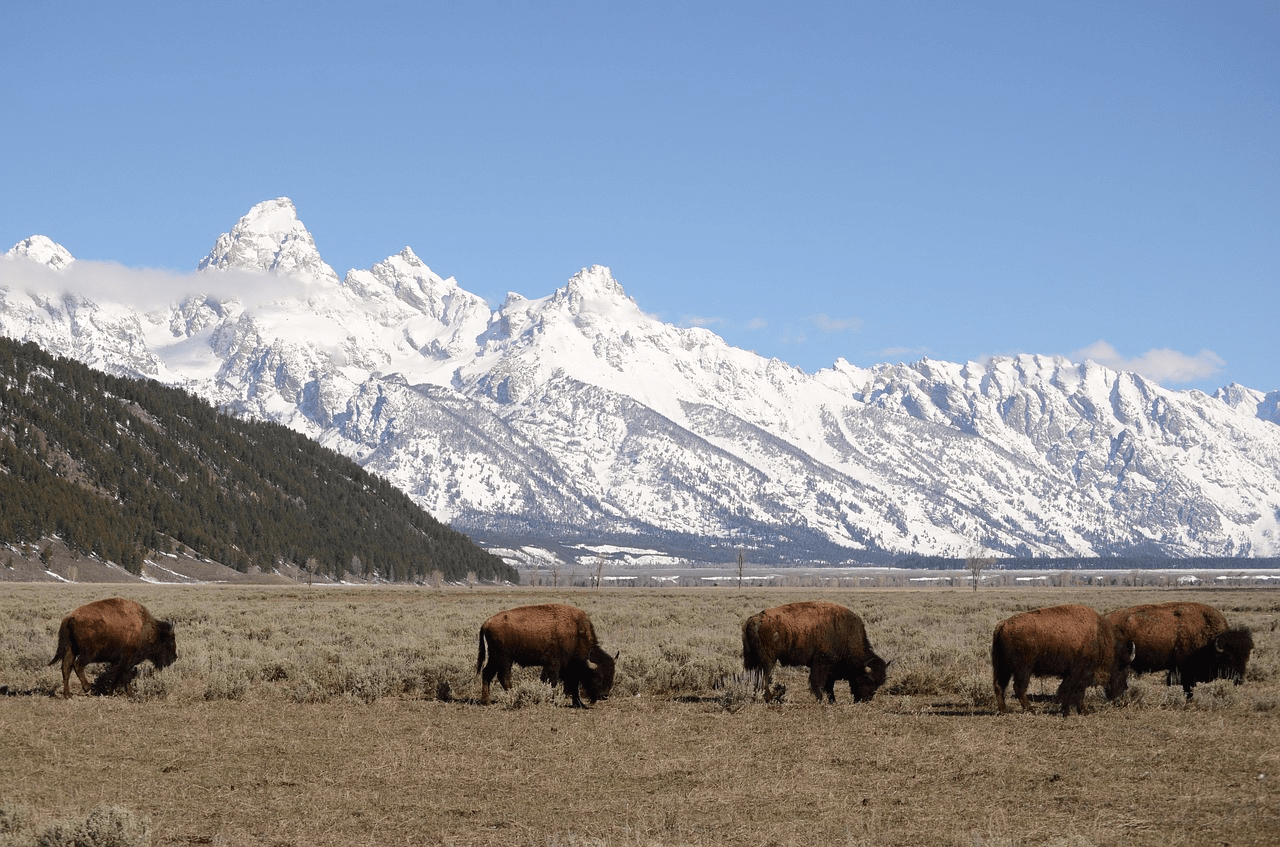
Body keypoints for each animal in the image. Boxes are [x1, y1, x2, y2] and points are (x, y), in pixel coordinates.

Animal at [49, 596, 177, 696]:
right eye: (170, 642)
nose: (174, 658)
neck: (146, 628)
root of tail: (71, 617)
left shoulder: (119, 660)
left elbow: (118, 674)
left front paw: (119, 692)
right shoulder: (127, 658)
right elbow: (122, 674)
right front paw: (121, 692)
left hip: (71, 649)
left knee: (66, 667)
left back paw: (67, 695)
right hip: (89, 653)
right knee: (77, 665)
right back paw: (88, 688)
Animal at [481, 603, 619, 711]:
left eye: (612, 675)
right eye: (598, 676)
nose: (604, 695)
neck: (576, 632)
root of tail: (487, 623)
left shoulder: (570, 668)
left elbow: (573, 685)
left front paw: (579, 704)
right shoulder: (553, 664)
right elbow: (552, 682)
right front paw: (550, 700)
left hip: (494, 658)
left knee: (486, 673)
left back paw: (486, 701)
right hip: (504, 658)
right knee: (503, 677)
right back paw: (512, 696)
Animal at [742, 601, 890, 706]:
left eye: (878, 683)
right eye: (867, 680)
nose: (866, 700)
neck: (845, 632)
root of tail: (754, 619)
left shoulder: (830, 668)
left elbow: (829, 686)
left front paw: (832, 701)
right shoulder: (822, 663)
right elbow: (818, 683)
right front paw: (821, 700)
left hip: (751, 660)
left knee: (753, 677)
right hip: (768, 661)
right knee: (763, 678)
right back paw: (770, 699)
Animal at [988, 603, 1131, 716]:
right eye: (1121, 670)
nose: (1124, 688)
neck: (1098, 638)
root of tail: (1003, 625)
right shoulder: (1079, 674)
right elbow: (1075, 692)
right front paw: (1080, 711)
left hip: (1003, 667)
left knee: (999, 686)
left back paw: (1004, 711)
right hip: (1023, 669)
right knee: (1018, 687)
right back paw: (1031, 710)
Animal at [1105, 601, 1254, 701]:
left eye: (1247, 657)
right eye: (1228, 658)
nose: (1239, 679)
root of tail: (1106, 619)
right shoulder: (1184, 670)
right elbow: (1186, 687)